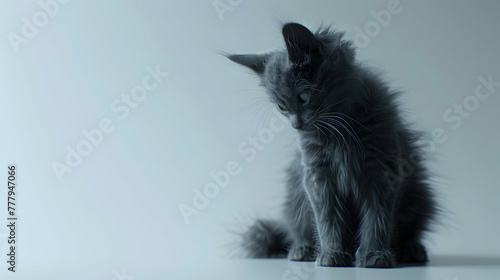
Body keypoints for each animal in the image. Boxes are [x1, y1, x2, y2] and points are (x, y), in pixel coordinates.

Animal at [228, 23, 438, 268]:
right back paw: (302, 250)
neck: (340, 133)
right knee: (296, 232)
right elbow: (328, 219)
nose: (296, 124)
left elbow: (376, 218)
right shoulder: (319, 176)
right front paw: (333, 254)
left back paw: (411, 250)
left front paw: (374, 255)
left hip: (419, 197)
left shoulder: (382, 170)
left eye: (303, 96)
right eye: (282, 107)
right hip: (295, 203)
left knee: (411, 231)